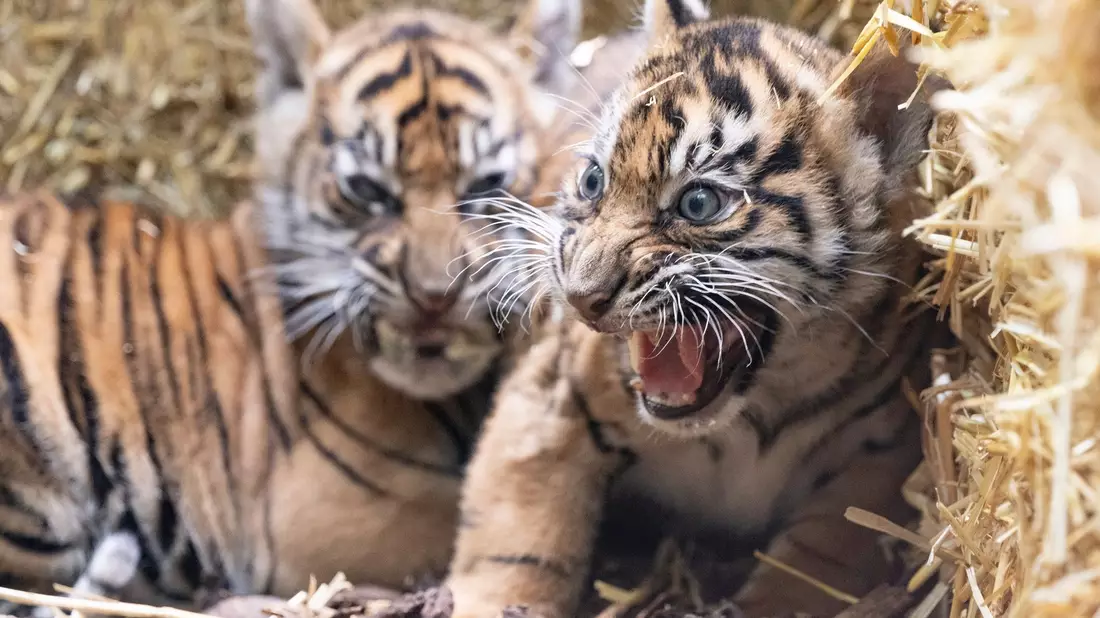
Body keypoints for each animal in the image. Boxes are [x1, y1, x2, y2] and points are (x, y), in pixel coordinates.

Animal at [442, 0, 951, 616]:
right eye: (593, 181)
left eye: (700, 203)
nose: (581, 298)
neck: (745, 420)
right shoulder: (550, 396)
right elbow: (519, 540)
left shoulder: (875, 457)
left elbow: (813, 567)